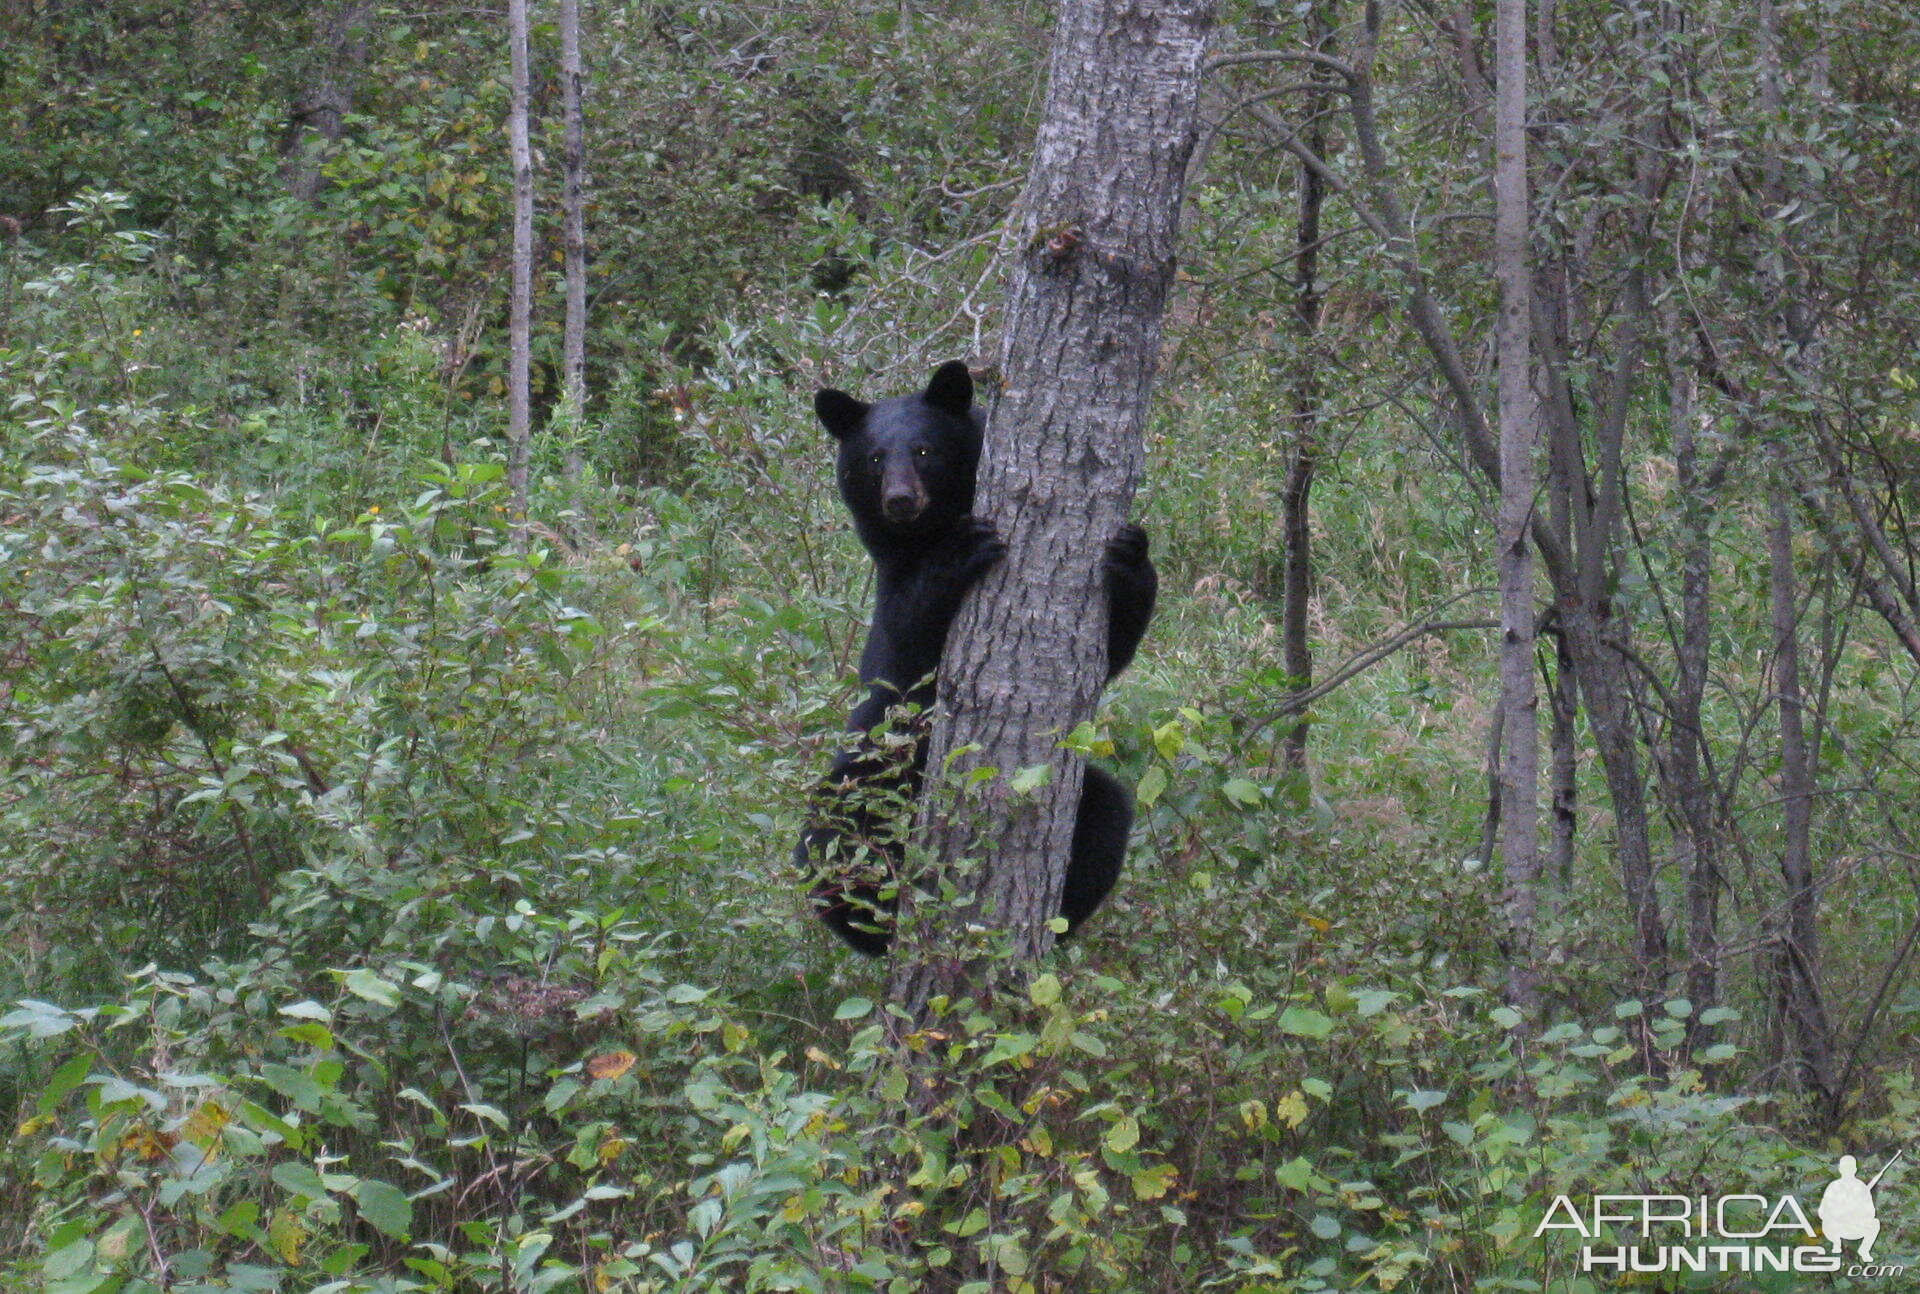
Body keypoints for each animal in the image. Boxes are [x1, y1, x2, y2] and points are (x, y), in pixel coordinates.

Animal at [791, 357, 1152, 952]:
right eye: (873, 458)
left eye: (923, 450)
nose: (900, 500)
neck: (929, 529)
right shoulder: (894, 597)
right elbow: (907, 640)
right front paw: (962, 550)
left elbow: (1111, 653)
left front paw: (1131, 555)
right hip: (875, 760)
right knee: (831, 837)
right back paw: (878, 915)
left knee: (1108, 812)